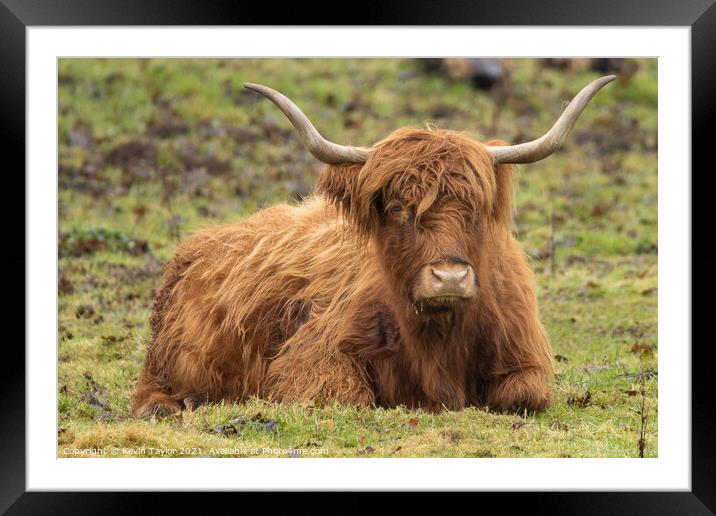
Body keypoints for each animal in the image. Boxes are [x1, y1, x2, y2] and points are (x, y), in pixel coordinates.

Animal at [133, 74, 616, 418]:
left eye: (475, 209)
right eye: (399, 207)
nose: (450, 277)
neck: (439, 339)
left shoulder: (525, 360)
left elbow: (524, 396)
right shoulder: (311, 360)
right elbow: (347, 396)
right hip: (164, 358)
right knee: (149, 389)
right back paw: (169, 406)